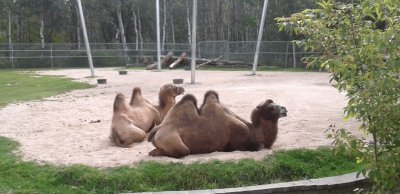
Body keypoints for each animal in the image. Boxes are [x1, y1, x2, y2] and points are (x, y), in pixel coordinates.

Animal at [148, 90, 288, 158]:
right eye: (271, 108)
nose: (284, 109)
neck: (253, 130)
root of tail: (156, 130)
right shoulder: (242, 140)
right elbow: (259, 147)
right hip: (172, 140)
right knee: (183, 151)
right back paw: (154, 152)